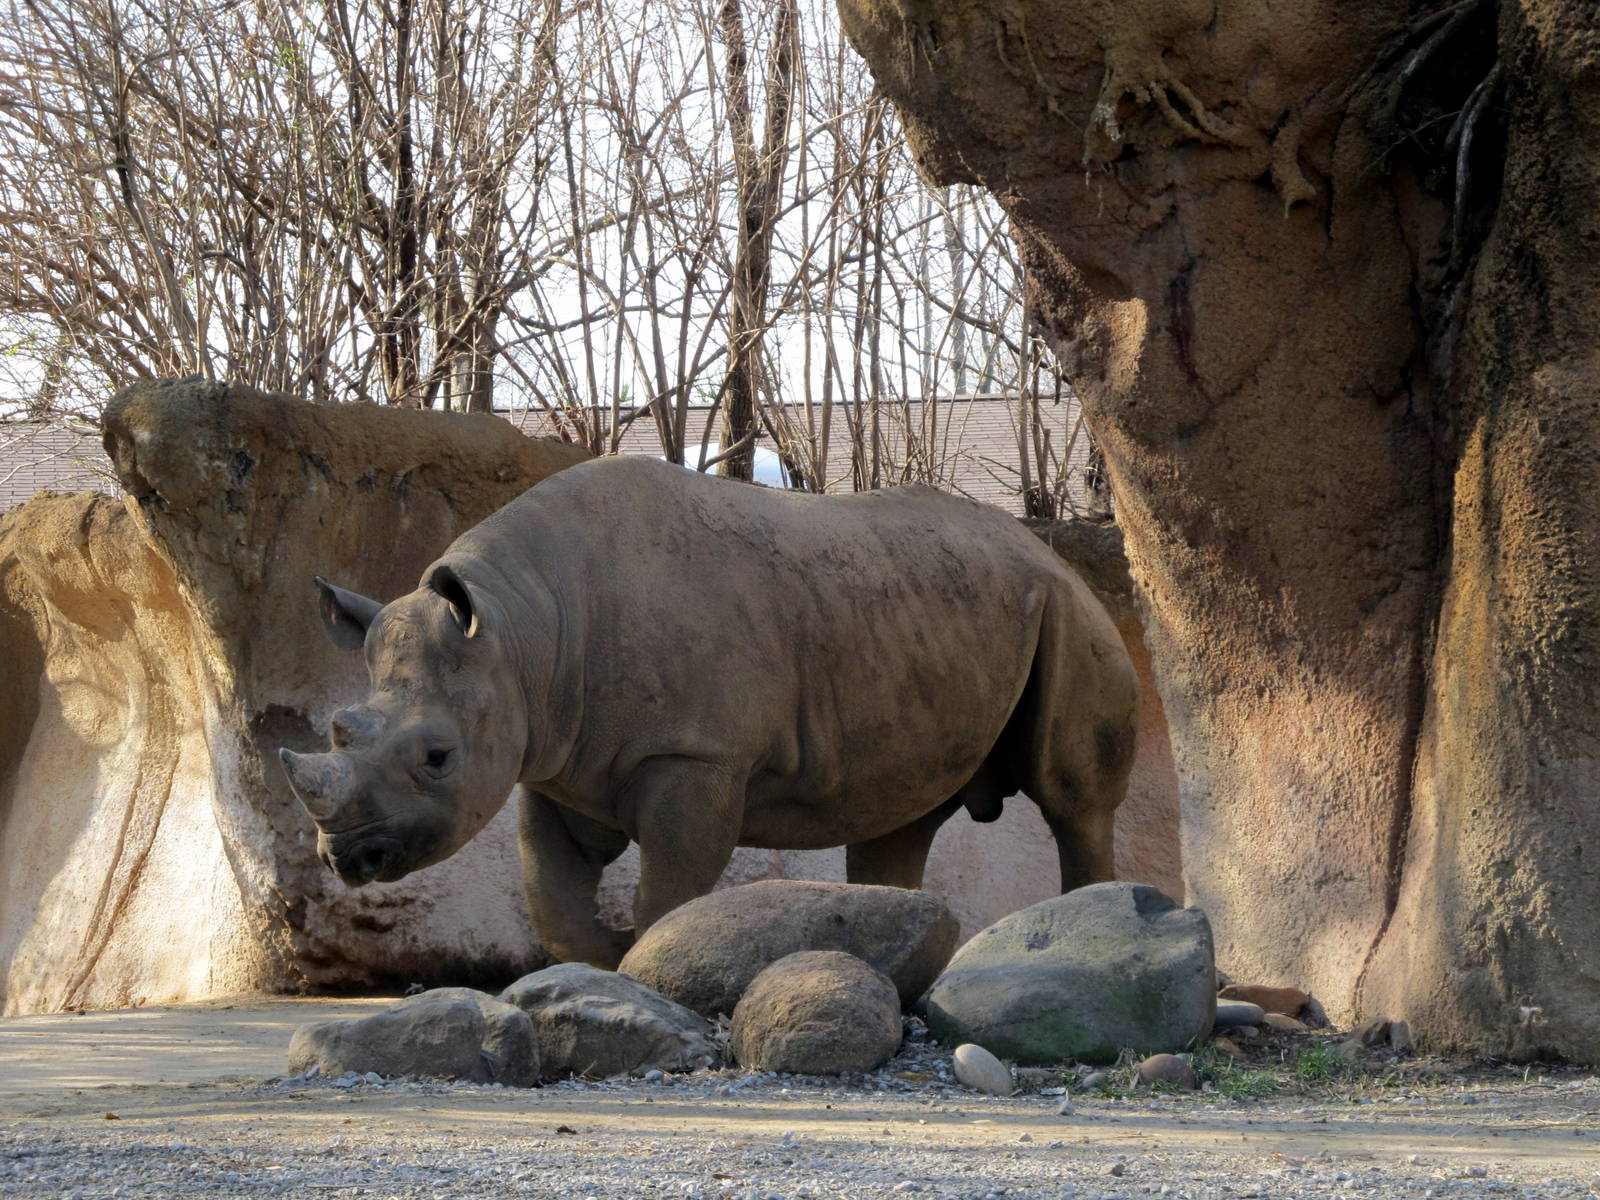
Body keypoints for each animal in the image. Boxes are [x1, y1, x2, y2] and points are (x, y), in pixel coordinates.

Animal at [280, 456, 1138, 967]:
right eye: (336, 731)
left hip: (1072, 612)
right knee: (898, 816)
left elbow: (670, 885)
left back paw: (1089, 926)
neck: (521, 631)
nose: (347, 856)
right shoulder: (553, 761)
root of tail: (1055, 553)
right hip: (930, 612)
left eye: (438, 758)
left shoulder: (694, 756)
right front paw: (606, 955)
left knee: (1072, 798)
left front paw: (645, 956)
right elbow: (551, 893)